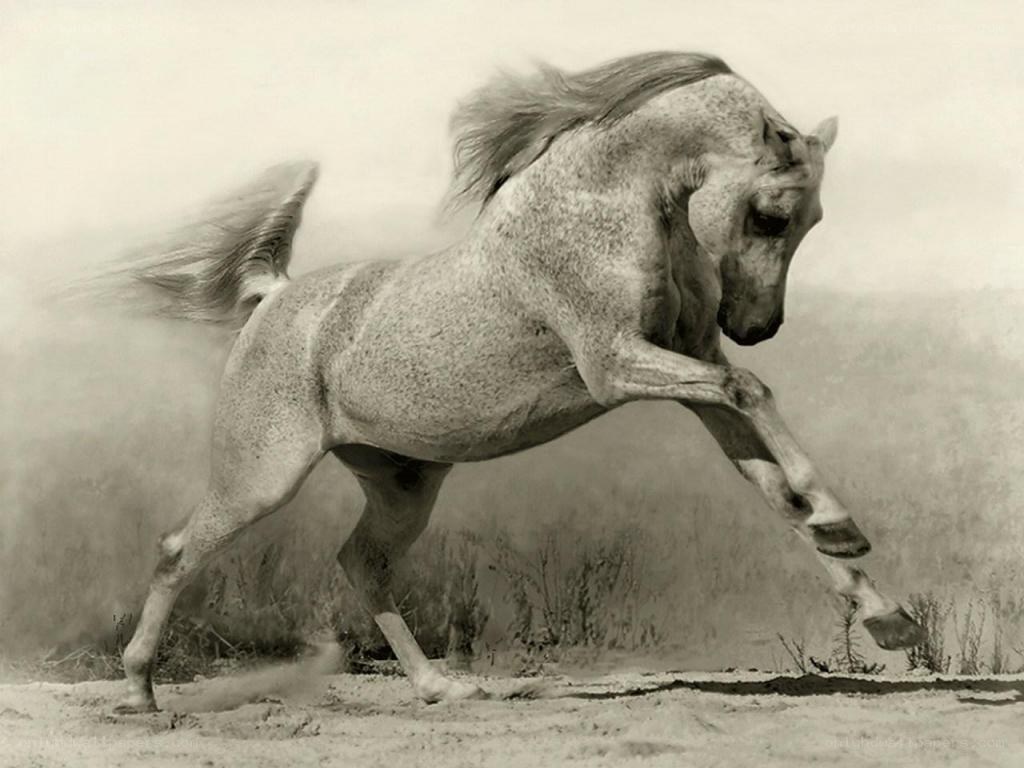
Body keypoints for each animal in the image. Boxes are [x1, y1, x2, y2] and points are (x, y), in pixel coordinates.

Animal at [94, 51, 924, 713]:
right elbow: (752, 390)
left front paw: (884, 612)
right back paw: (139, 692)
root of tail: (272, 297)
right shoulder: (616, 364)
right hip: (261, 478)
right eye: (771, 215)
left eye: (811, 222)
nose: (758, 326)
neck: (611, 205)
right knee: (178, 549)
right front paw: (842, 524)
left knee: (361, 565)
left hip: (402, 484)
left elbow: (772, 485)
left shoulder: (692, 368)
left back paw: (442, 688)